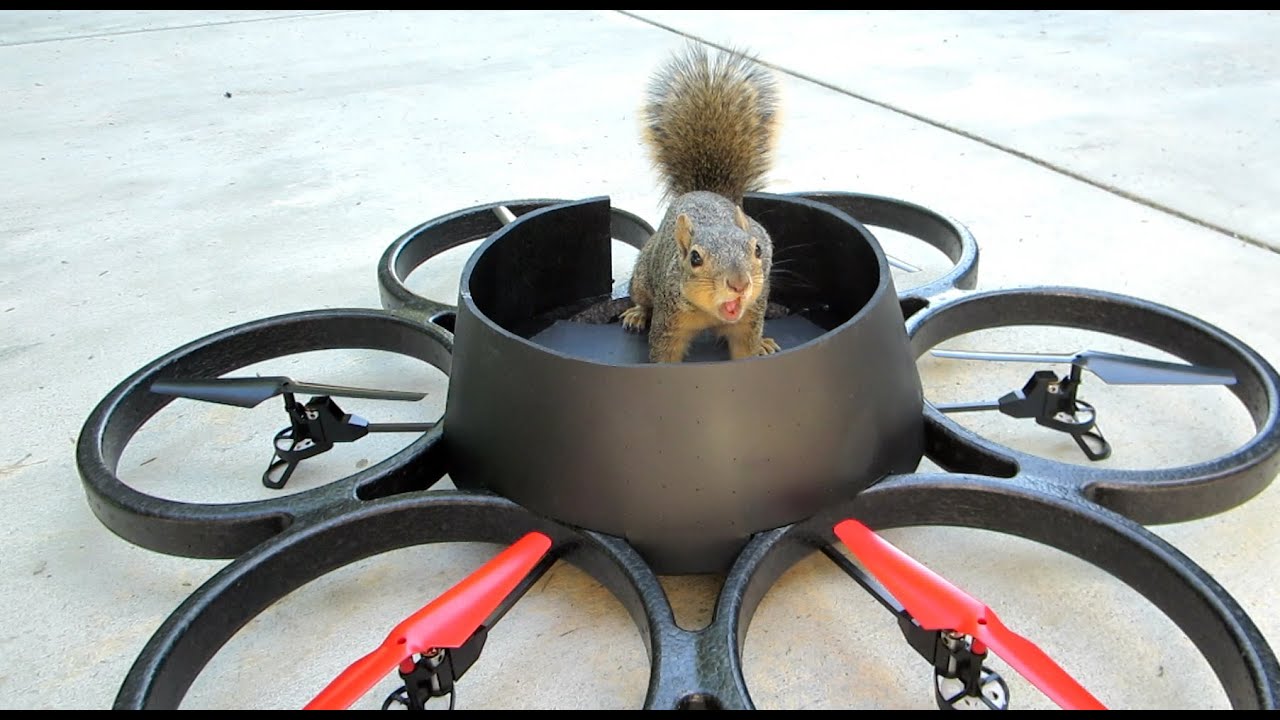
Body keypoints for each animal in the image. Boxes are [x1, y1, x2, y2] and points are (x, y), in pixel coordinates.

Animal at [620, 44, 782, 364]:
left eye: (757, 249)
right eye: (695, 258)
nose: (739, 285)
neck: (712, 314)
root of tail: (704, 192)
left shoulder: (749, 319)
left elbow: (746, 349)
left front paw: (757, 348)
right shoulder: (669, 321)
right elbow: (663, 355)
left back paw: (765, 344)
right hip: (644, 274)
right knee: (642, 297)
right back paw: (637, 313)